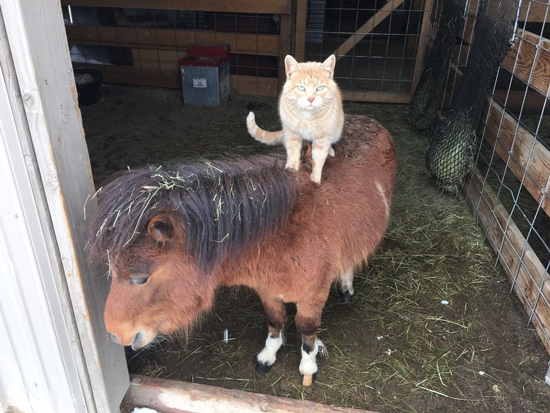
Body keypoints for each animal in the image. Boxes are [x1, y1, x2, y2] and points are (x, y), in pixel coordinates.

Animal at [87, 113, 396, 384]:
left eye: (140, 278)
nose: (114, 334)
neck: (284, 230)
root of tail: (368, 120)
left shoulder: (313, 295)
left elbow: (307, 329)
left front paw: (308, 366)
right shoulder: (267, 289)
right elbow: (275, 320)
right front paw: (268, 355)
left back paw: (346, 286)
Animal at [247, 54, 342, 183]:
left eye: (320, 88)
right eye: (301, 87)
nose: (311, 99)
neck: (307, 115)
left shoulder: (322, 137)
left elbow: (319, 157)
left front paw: (315, 178)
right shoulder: (292, 132)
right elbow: (293, 151)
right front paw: (291, 168)